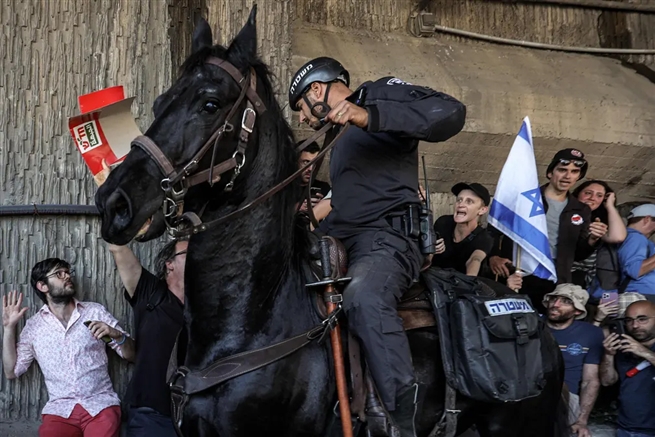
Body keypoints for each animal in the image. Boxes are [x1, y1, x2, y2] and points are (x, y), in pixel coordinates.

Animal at [96, 7, 568, 436]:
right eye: (160, 102)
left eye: (210, 103)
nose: (113, 201)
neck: (256, 319)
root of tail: (534, 318)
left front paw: (360, 115)